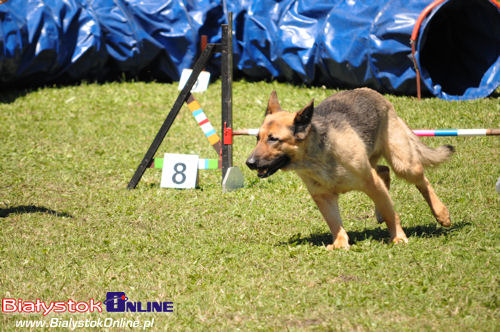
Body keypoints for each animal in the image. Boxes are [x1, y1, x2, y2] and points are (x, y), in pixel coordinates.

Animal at [245, 88, 454, 249]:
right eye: (258, 138)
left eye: (274, 139)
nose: (249, 163)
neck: (316, 158)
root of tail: (376, 94)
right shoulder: (323, 197)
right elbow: (334, 223)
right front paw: (340, 243)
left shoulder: (369, 182)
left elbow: (391, 214)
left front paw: (398, 237)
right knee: (384, 172)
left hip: (404, 164)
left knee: (421, 181)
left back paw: (441, 213)